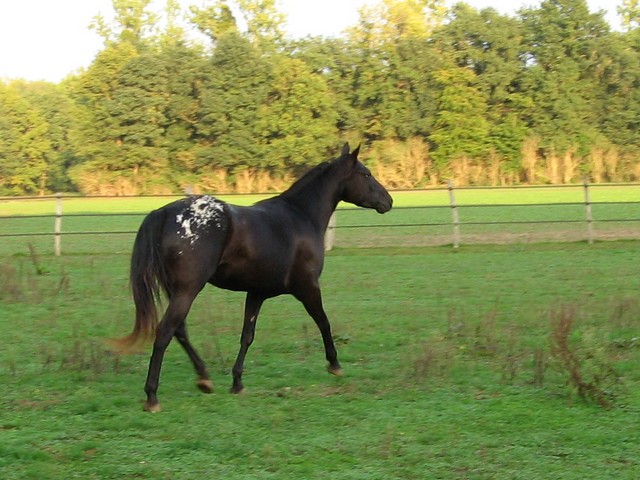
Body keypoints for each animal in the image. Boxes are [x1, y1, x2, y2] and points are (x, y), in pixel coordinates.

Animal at [112, 143, 393, 412]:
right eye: (366, 174)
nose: (388, 201)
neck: (300, 216)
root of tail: (163, 214)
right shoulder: (307, 287)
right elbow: (323, 322)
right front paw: (334, 364)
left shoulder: (257, 293)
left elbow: (247, 335)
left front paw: (237, 382)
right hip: (188, 290)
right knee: (165, 332)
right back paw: (152, 397)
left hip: (177, 290)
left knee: (179, 330)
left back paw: (204, 378)